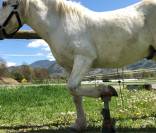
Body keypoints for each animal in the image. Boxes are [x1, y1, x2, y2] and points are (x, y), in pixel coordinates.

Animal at [0, 0, 156, 131]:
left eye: (4, 3)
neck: (61, 24)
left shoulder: (84, 58)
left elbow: (72, 86)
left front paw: (106, 90)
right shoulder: (69, 66)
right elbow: (75, 94)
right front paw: (80, 124)